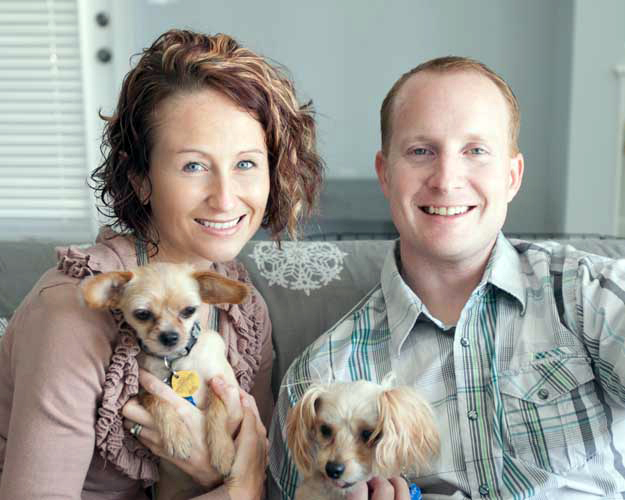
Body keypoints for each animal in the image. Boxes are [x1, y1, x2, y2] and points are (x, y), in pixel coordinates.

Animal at [81, 262, 247, 496]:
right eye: (142, 314)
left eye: (189, 311)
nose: (169, 337)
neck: (176, 360)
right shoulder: (144, 390)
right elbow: (159, 400)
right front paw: (176, 435)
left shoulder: (224, 384)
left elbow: (217, 407)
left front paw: (222, 450)